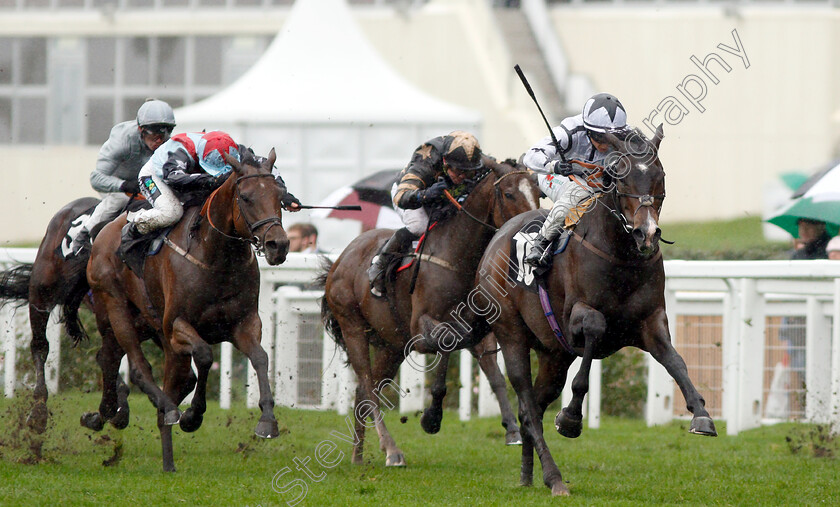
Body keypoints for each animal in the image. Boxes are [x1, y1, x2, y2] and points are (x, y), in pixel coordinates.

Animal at [85, 147, 288, 472]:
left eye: (279, 196)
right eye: (245, 197)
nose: (277, 245)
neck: (216, 257)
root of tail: (104, 233)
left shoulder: (243, 324)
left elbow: (260, 357)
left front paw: (267, 420)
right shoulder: (177, 324)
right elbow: (205, 355)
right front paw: (192, 416)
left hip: (148, 325)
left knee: (113, 358)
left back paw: (116, 420)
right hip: (116, 308)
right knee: (138, 368)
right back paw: (165, 409)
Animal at [322, 158, 540, 468]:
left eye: (539, 192)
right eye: (509, 194)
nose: (534, 227)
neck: (457, 254)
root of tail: (340, 259)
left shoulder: (471, 318)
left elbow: (472, 355)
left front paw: (436, 416)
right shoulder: (420, 323)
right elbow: (443, 341)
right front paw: (431, 416)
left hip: (391, 345)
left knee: (366, 391)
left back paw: (358, 455)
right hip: (352, 327)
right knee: (367, 385)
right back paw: (391, 450)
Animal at [476, 126, 720, 496]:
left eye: (660, 176)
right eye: (621, 177)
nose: (647, 233)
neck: (621, 254)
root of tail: (494, 242)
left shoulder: (650, 321)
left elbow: (676, 361)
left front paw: (701, 415)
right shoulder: (576, 316)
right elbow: (593, 331)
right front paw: (571, 418)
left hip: (553, 354)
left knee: (534, 406)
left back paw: (528, 475)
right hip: (512, 335)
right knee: (528, 408)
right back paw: (554, 478)